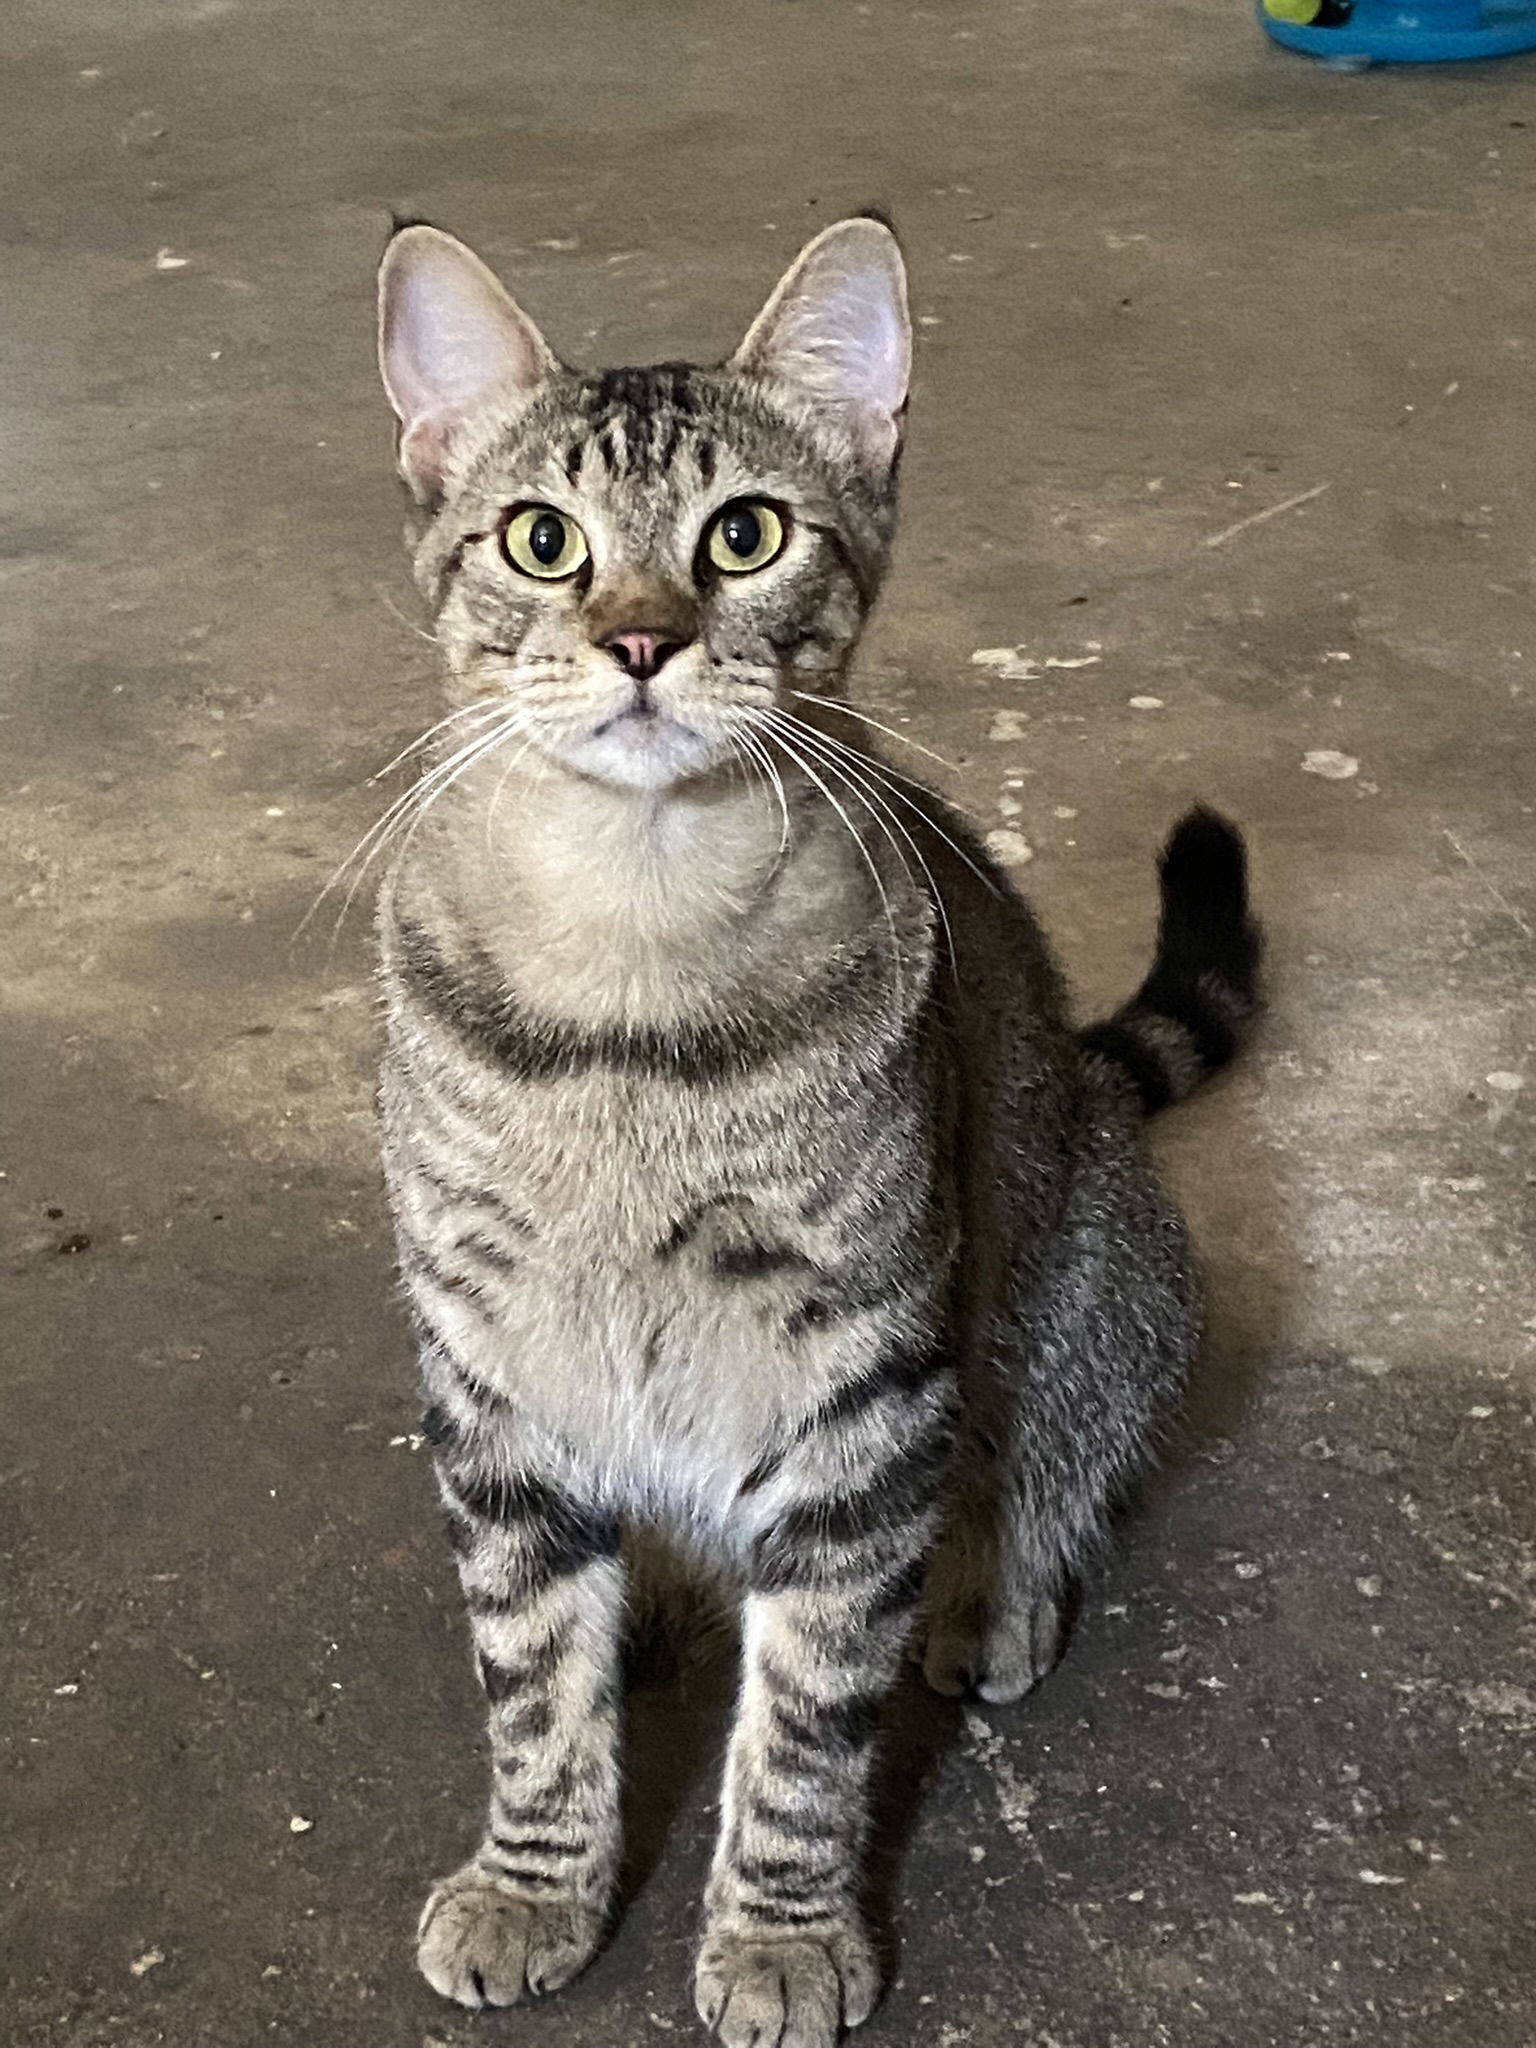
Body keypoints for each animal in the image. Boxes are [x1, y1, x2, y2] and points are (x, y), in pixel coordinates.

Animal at [370, 216, 1261, 2039]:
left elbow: (803, 1725)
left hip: (1097, 1281)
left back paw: (991, 1594)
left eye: (747, 533)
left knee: (1047, 1469)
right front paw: (533, 1882)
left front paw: (779, 1928)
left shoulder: (865, 1386)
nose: (642, 642)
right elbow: (531, 1693)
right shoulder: (487, 1368)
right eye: (543, 539)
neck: (629, 975)